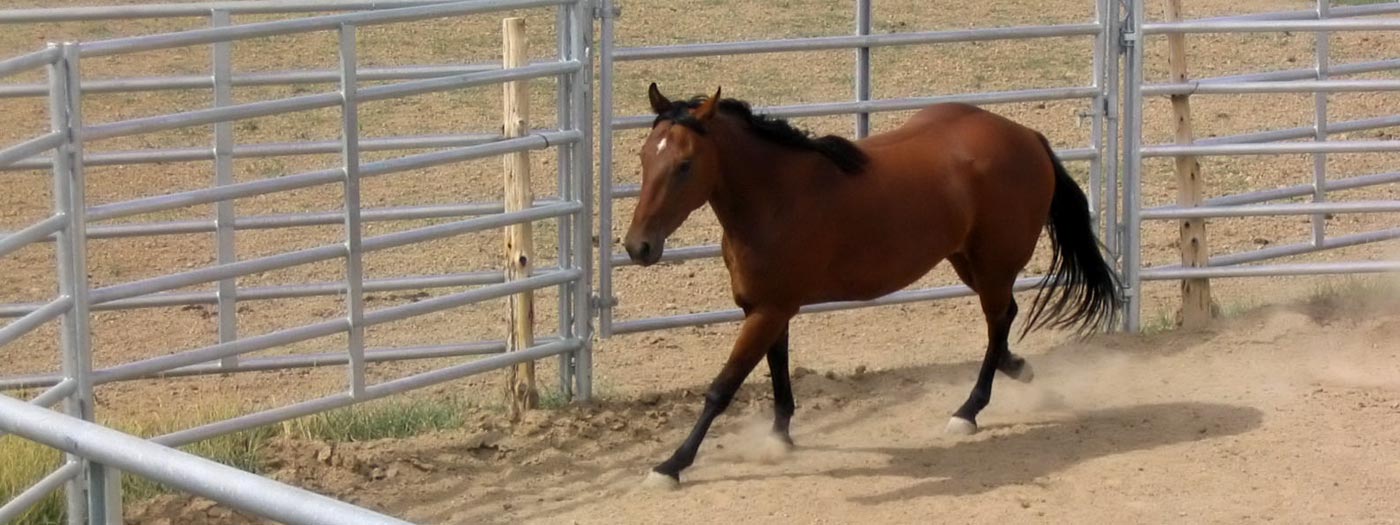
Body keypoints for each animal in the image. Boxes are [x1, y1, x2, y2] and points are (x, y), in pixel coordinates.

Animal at [624, 83, 1121, 490]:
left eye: (685, 164)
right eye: (645, 157)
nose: (637, 246)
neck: (776, 198)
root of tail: (1027, 136)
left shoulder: (769, 310)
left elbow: (722, 388)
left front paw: (670, 466)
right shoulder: (766, 309)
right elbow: (777, 368)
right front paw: (780, 438)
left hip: (993, 263)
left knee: (998, 320)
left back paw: (967, 412)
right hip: (967, 261)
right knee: (1003, 319)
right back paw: (1017, 370)